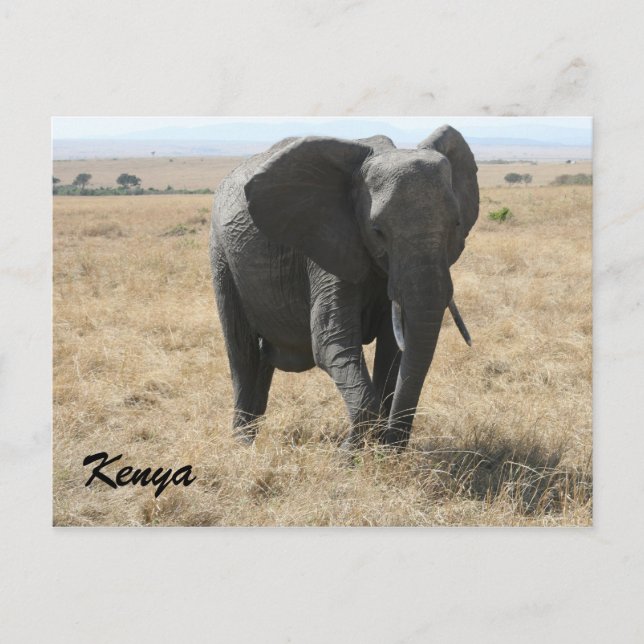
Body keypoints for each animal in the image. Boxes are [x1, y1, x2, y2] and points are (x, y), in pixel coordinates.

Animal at [209, 125, 479, 448]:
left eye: (456, 224)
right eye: (377, 231)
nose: (391, 443)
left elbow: (393, 350)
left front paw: (379, 451)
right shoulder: (326, 246)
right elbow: (331, 341)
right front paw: (351, 454)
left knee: (260, 359)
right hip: (222, 255)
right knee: (242, 353)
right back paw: (243, 445)